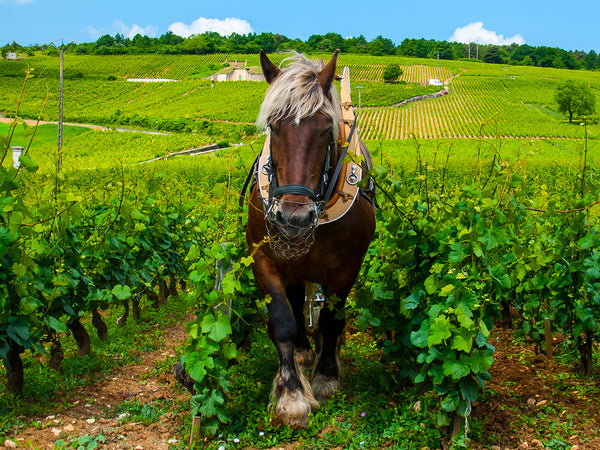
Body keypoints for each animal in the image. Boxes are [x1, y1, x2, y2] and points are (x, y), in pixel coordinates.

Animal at [244, 50, 376, 428]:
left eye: (324, 129)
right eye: (273, 126)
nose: (294, 217)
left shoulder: (347, 268)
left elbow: (332, 319)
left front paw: (326, 375)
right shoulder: (263, 259)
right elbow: (282, 321)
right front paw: (291, 394)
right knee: (294, 301)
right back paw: (304, 349)